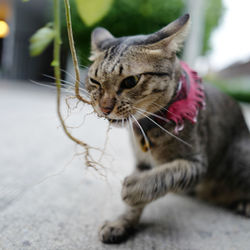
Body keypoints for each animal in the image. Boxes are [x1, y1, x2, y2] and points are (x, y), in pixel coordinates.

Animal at [85, 14, 250, 244]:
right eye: (94, 81)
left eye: (130, 81)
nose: (104, 108)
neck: (147, 126)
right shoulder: (143, 162)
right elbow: (141, 197)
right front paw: (121, 223)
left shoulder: (196, 162)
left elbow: (168, 174)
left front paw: (133, 189)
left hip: (238, 161)